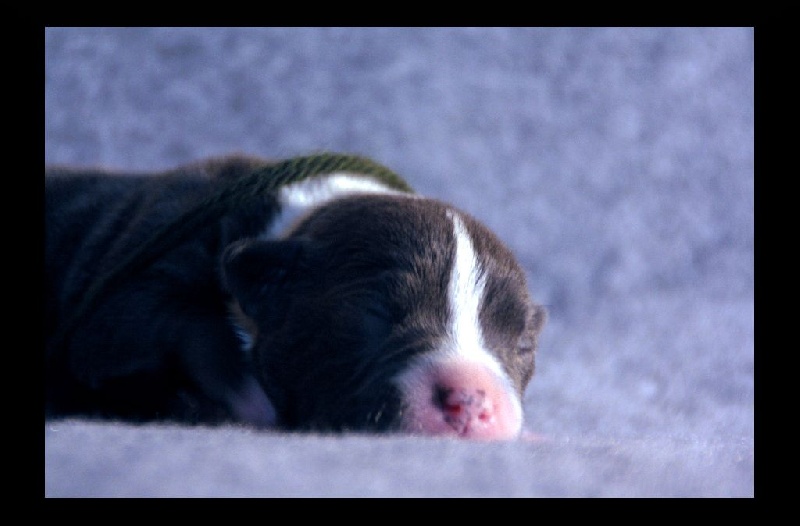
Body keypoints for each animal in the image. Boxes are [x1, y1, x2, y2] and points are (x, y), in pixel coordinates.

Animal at [45, 154, 546, 440]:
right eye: (376, 313)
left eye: (522, 344)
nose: (471, 401)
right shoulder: (133, 298)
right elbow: (184, 328)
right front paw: (250, 402)